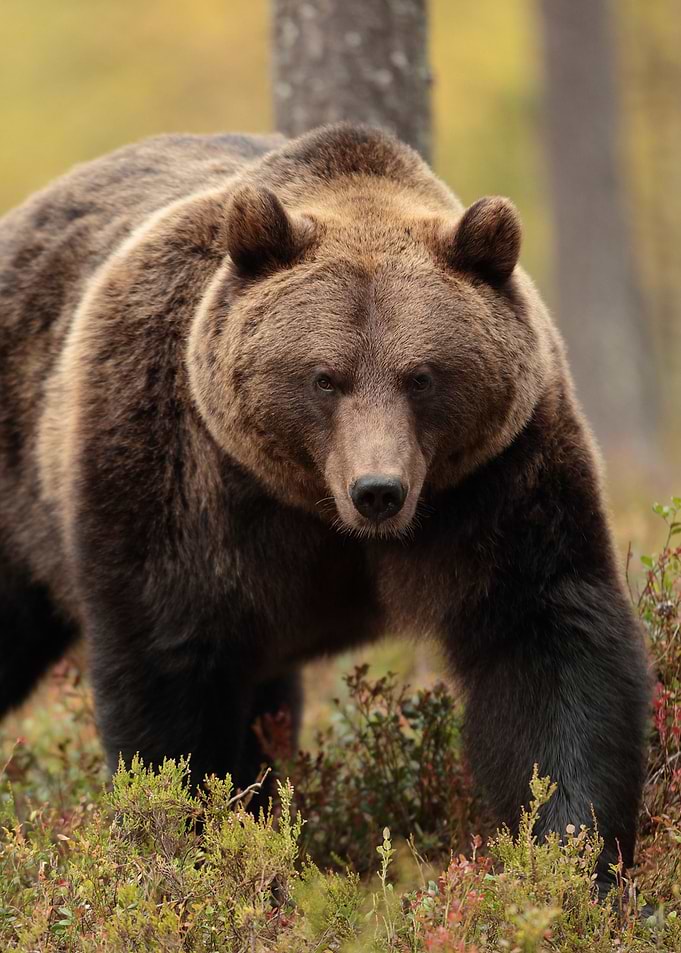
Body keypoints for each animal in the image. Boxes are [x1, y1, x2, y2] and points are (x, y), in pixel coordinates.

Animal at [0, 123, 648, 895]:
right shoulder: (178, 471)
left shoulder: (499, 474)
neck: (315, 507)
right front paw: (188, 846)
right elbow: (168, 669)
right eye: (323, 377)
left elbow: (543, 645)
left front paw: (570, 857)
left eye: (422, 375)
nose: (378, 489)